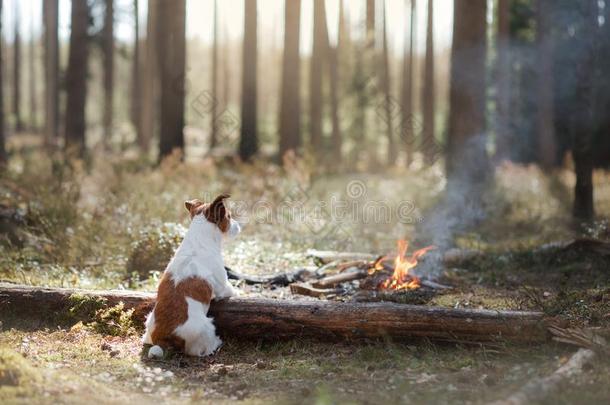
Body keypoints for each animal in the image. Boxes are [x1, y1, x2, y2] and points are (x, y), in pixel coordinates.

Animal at [141, 193, 239, 356]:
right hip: (207, 327)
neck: (198, 241)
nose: (238, 226)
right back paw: (216, 344)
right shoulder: (222, 286)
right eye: (229, 216)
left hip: (149, 319)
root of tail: (163, 339)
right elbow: (230, 290)